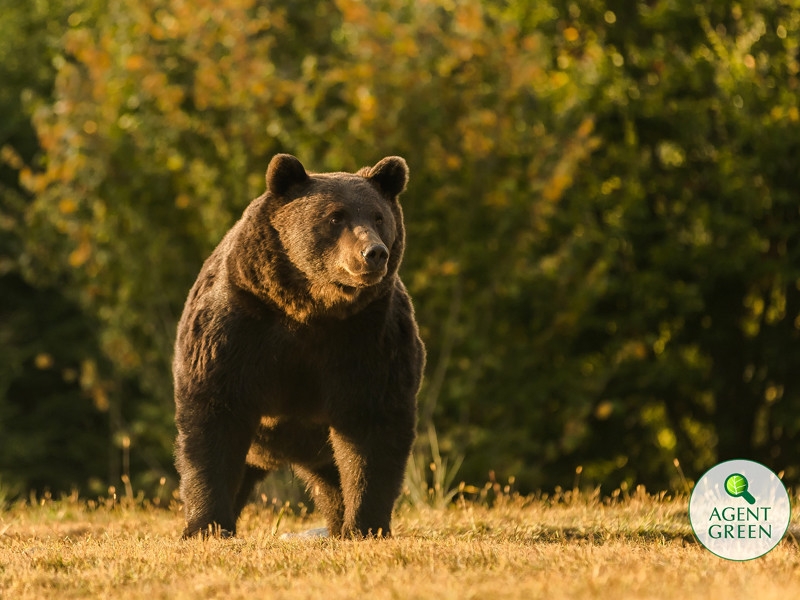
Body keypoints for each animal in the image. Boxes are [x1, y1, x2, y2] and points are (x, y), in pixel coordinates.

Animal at [172, 155, 424, 540]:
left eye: (379, 217)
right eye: (335, 216)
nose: (374, 253)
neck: (310, 307)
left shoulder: (369, 338)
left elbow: (372, 426)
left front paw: (365, 525)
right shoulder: (237, 326)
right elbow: (214, 417)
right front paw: (206, 526)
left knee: (332, 480)